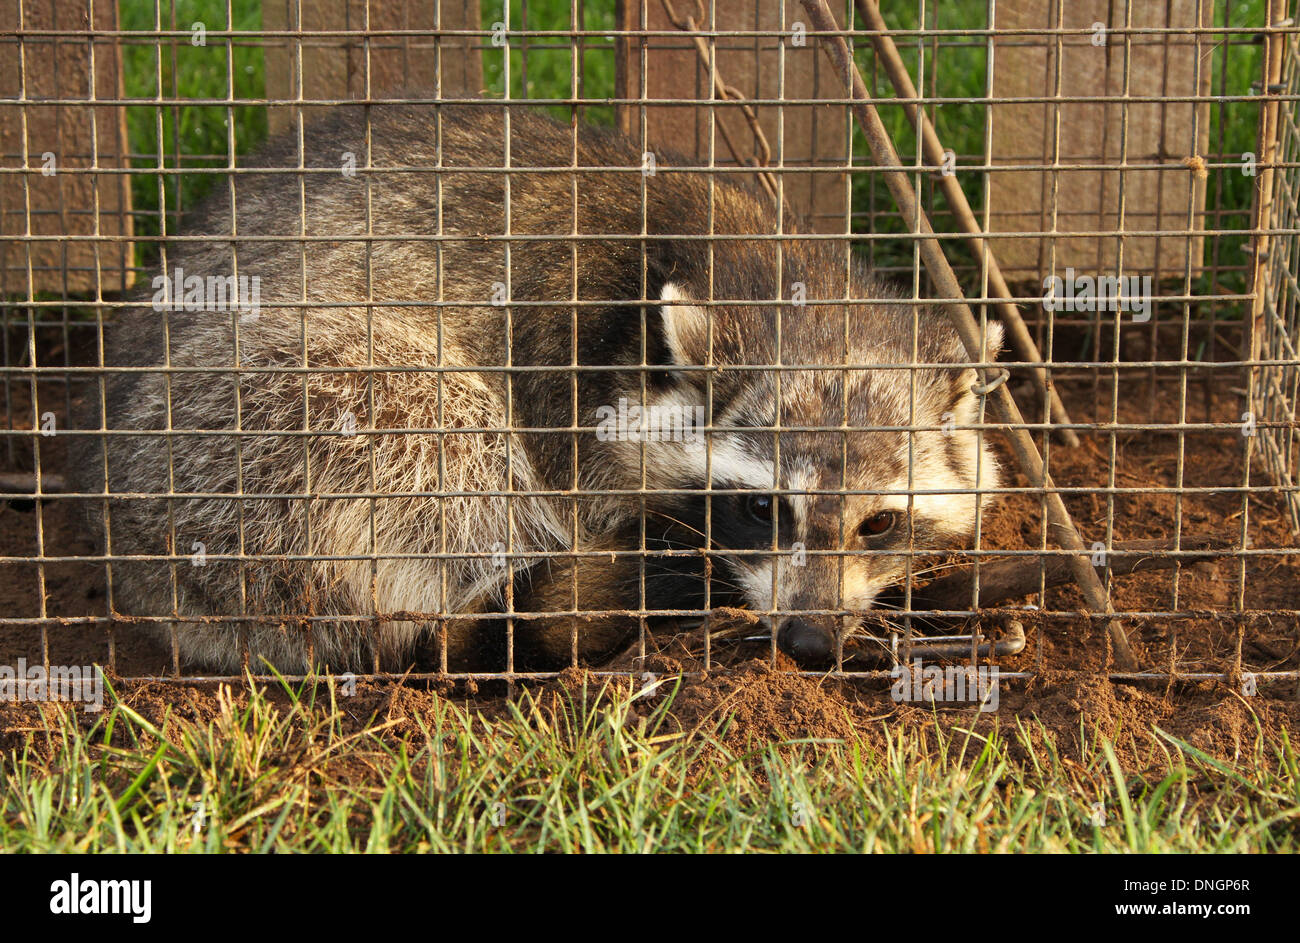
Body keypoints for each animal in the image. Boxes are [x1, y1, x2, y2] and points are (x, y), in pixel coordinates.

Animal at [76, 102, 998, 671]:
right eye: (764, 507)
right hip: (236, 439)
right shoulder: (567, 381)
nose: (808, 638)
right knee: (439, 422)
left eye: (880, 522)